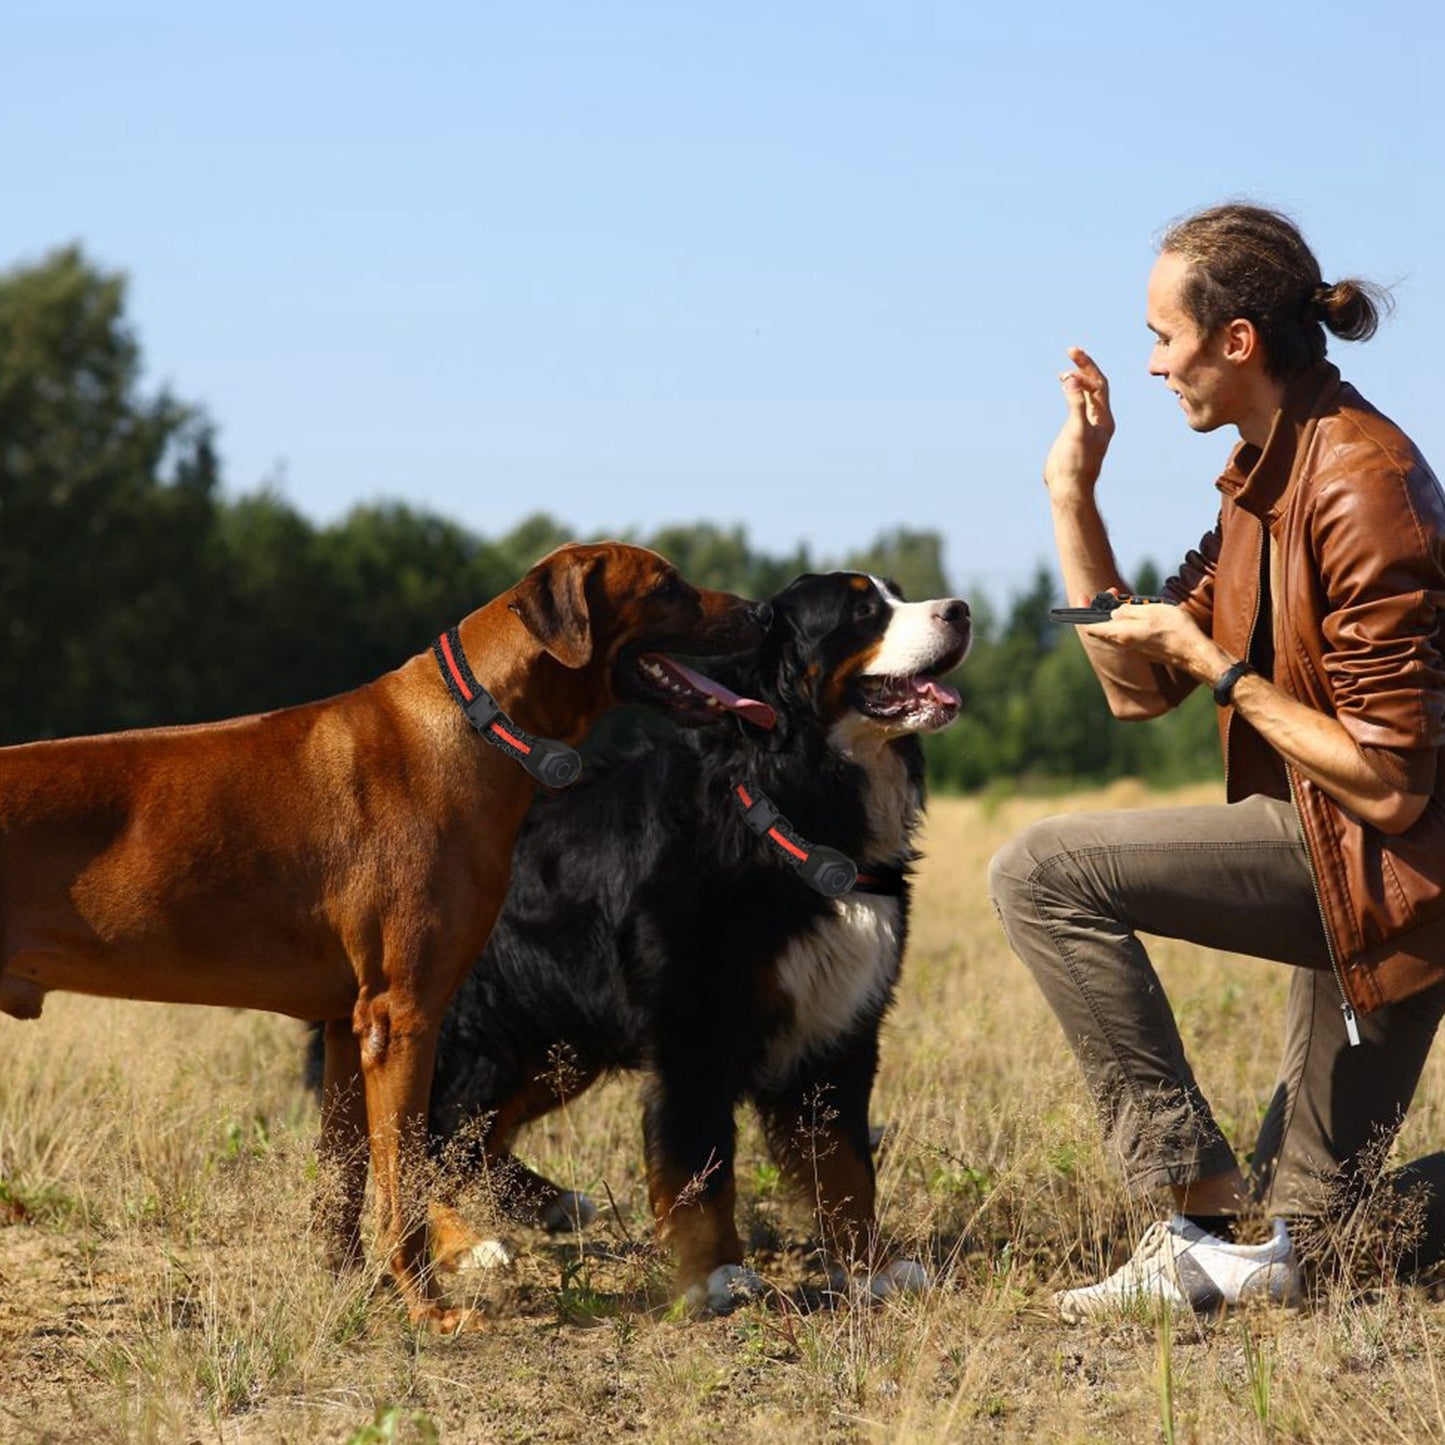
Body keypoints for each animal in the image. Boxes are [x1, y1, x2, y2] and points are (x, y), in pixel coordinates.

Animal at [0, 543, 768, 1329]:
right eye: (665, 585)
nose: (762, 612)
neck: (477, 722)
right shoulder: (402, 1016)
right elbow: (404, 1178)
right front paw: (428, 1306)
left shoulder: (348, 1024)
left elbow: (342, 1180)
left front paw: (344, 1284)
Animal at [390, 572, 965, 1312]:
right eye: (863, 608)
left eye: (898, 592)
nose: (961, 610)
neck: (787, 797)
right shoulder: (697, 1024)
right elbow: (701, 1158)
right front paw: (715, 1273)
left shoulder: (838, 1024)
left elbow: (843, 1165)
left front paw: (870, 1267)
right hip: (484, 1033)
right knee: (433, 1132)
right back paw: (467, 1244)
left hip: (554, 1041)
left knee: (471, 1136)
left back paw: (548, 1204)